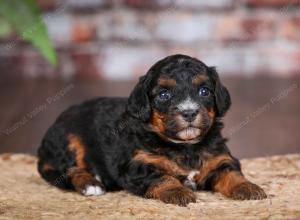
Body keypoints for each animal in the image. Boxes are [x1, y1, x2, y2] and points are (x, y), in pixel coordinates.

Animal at [38, 54, 268, 206]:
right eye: (164, 95)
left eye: (204, 91)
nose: (189, 112)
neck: (185, 146)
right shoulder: (139, 166)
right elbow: (162, 177)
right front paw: (178, 191)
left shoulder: (220, 159)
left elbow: (232, 174)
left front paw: (249, 188)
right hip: (70, 139)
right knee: (67, 169)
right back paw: (91, 183)